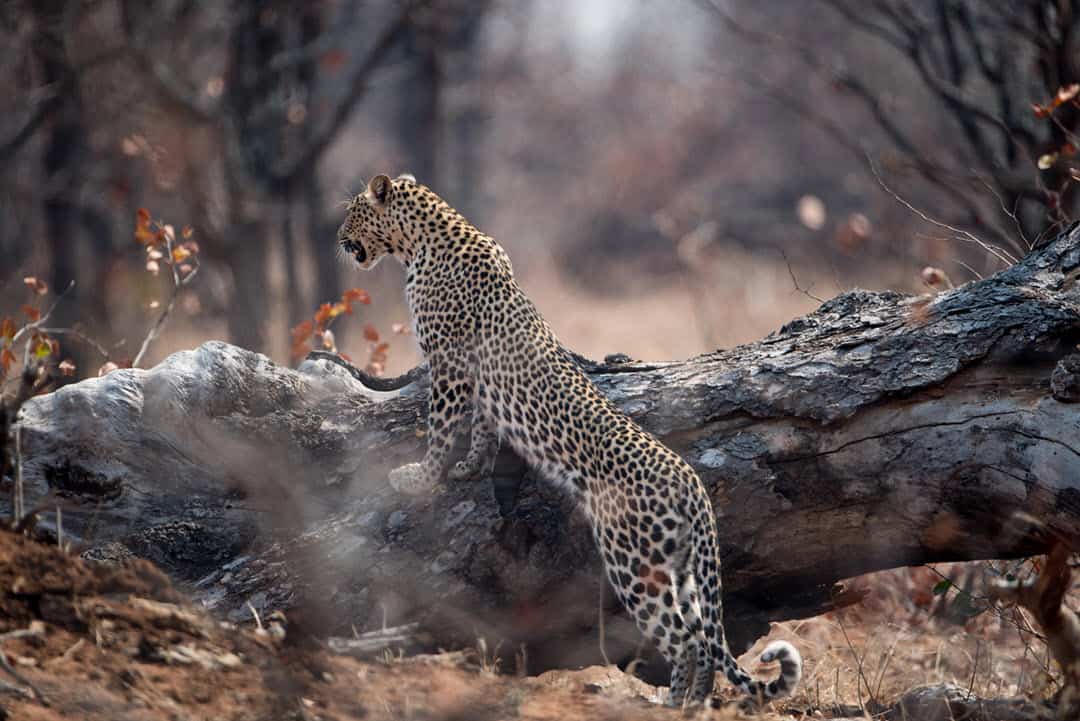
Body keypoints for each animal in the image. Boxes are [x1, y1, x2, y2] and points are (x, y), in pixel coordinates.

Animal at [337, 173, 802, 707]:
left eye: (351, 212)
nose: (338, 238)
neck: (421, 240)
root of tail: (692, 483)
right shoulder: (478, 379)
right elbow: (481, 427)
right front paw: (469, 467)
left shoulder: (450, 365)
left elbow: (442, 427)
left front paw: (420, 478)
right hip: (681, 568)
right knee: (702, 640)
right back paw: (693, 705)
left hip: (633, 561)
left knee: (684, 640)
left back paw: (670, 705)